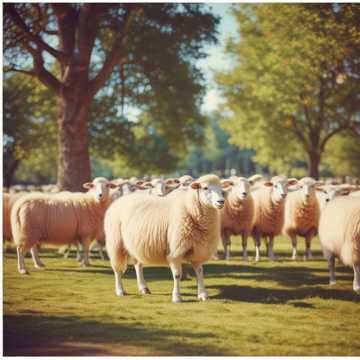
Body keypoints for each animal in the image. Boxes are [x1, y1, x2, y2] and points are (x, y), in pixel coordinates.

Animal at [104, 173, 229, 302]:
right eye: (205, 188)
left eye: (222, 190)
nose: (221, 201)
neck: (189, 208)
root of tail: (122, 198)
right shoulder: (175, 251)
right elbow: (177, 275)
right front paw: (177, 297)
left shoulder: (198, 250)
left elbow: (200, 272)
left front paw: (203, 294)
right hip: (115, 242)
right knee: (117, 269)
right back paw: (120, 290)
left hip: (134, 243)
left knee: (138, 265)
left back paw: (143, 288)